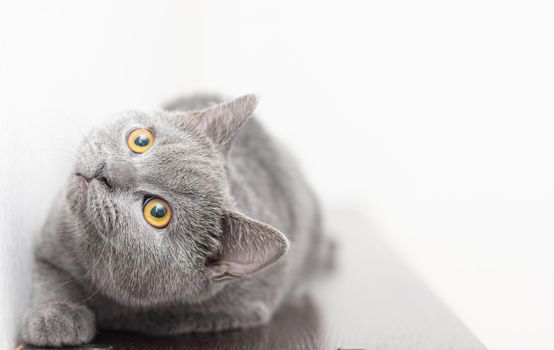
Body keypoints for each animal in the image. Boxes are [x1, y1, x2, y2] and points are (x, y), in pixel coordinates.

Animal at [19, 93, 332, 348]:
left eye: (158, 212)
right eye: (141, 140)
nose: (105, 171)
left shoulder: (239, 308)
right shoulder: (50, 239)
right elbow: (50, 277)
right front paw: (55, 317)